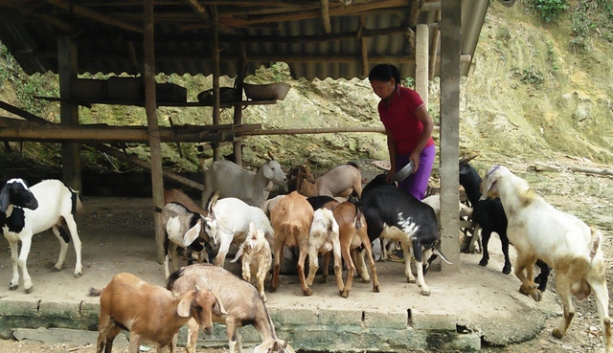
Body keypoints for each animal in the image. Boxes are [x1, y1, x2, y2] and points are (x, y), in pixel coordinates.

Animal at [89, 272, 226, 352]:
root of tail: (110, 283)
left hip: (119, 323)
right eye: (197, 305)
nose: (209, 329)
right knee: (100, 340)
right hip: (105, 317)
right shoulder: (135, 335)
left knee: (110, 336)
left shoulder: (164, 343)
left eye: (213, 304)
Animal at [456, 158, 548, 290]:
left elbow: (490, 244)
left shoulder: (489, 227)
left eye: (458, 166)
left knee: (546, 267)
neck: (481, 198)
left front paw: (486, 261)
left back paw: (541, 287)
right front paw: (506, 267)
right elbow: (503, 248)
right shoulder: (499, 231)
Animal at [480, 164, 608, 350]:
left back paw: (558, 332)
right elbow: (529, 270)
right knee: (607, 321)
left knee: (570, 310)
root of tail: (591, 241)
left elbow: (518, 271)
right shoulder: (533, 252)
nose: (480, 188)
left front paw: (534, 292)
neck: (521, 205)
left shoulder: (523, 249)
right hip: (598, 279)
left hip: (563, 275)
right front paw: (528, 288)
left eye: (485, 175)